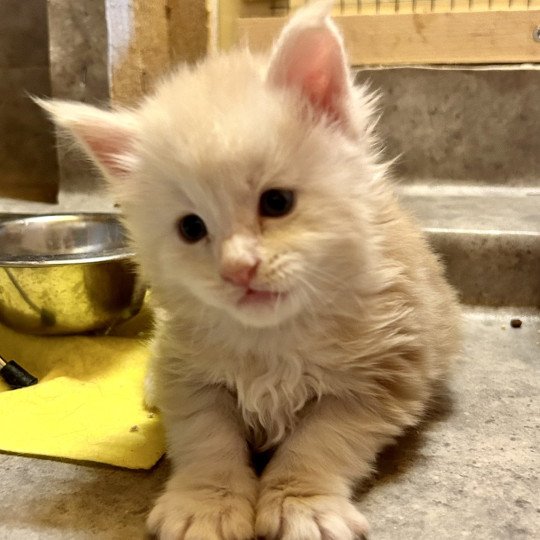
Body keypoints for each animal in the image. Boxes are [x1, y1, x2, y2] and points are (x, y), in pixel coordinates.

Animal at [41, 2, 460, 536]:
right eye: (192, 228)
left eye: (276, 203)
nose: (238, 268)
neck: (272, 342)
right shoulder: (192, 376)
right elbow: (207, 444)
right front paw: (207, 505)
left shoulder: (379, 378)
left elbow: (318, 447)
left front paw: (303, 504)